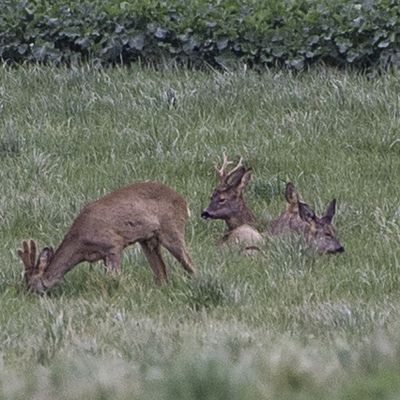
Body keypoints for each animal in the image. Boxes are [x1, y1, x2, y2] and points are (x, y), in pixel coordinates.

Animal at [17, 182, 195, 294]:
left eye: (29, 282)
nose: (27, 295)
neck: (81, 244)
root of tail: (184, 202)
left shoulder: (113, 244)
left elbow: (114, 279)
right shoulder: (102, 255)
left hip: (171, 229)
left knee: (189, 262)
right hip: (147, 240)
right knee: (162, 271)